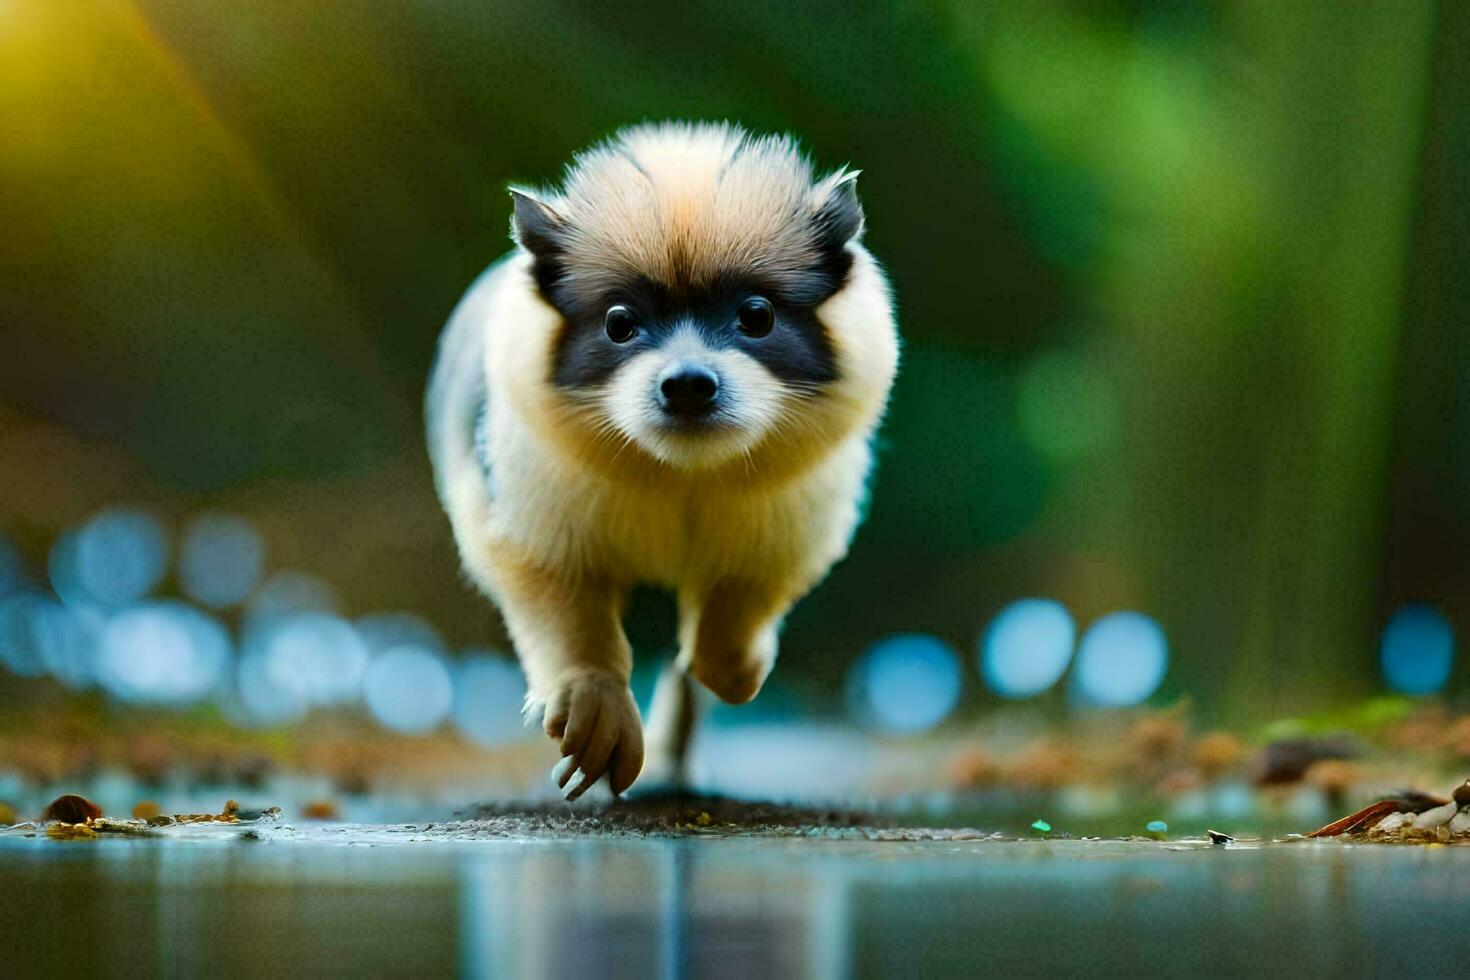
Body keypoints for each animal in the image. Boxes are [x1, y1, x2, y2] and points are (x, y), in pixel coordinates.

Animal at [426, 120, 893, 799]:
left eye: (756, 316)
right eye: (619, 323)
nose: (689, 385)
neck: (681, 474)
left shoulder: (780, 533)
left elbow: (725, 631)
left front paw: (742, 667)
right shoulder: (531, 523)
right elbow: (572, 623)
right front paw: (596, 723)